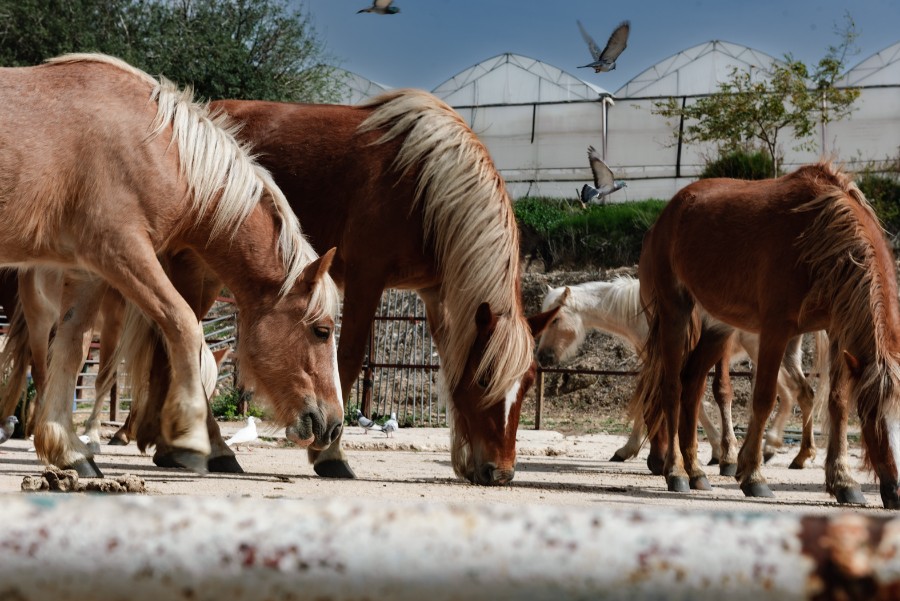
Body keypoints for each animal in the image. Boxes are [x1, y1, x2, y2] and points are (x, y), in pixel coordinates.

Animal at [0, 55, 342, 478]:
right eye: (321, 331)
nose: (334, 425)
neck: (159, 146)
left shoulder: (88, 273)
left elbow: (73, 351)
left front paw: (69, 451)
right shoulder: (122, 251)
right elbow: (183, 325)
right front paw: (190, 439)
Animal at [211, 91, 560, 486]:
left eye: (529, 383)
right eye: (485, 380)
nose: (500, 472)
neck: (426, 186)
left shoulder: (436, 295)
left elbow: (451, 367)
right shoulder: (366, 277)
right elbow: (347, 360)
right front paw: (328, 455)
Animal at [636, 162, 900, 508]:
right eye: (872, 415)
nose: (897, 491)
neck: (816, 235)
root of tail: (664, 219)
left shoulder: (838, 331)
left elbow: (838, 403)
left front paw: (843, 480)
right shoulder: (776, 329)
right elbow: (763, 398)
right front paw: (752, 475)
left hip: (718, 329)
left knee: (691, 385)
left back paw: (696, 471)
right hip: (674, 314)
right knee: (671, 387)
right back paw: (676, 472)